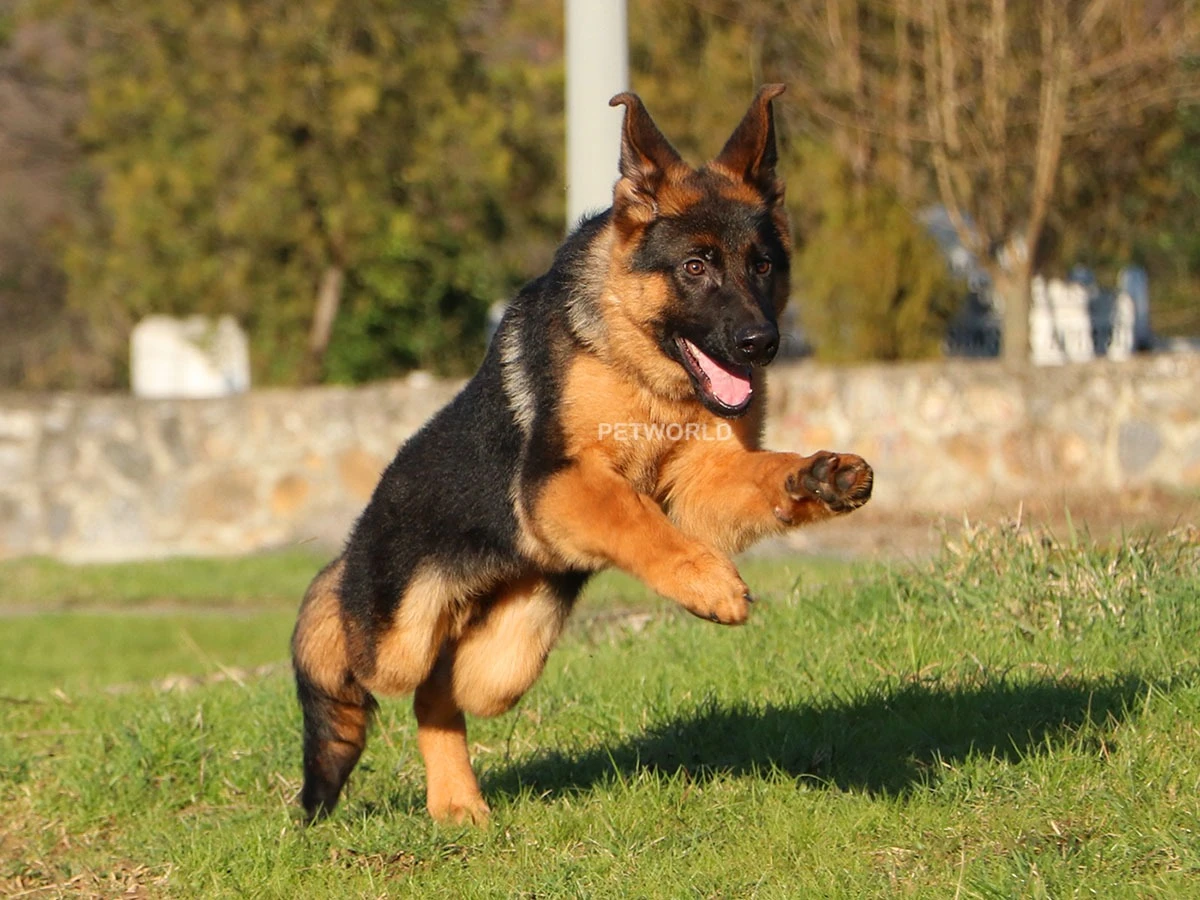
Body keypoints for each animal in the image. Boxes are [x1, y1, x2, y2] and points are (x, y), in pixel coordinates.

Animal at [290, 84, 873, 825]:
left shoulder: (703, 483)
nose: (761, 344)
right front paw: (708, 584)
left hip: (504, 659)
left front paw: (818, 477)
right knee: (341, 626)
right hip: (394, 637)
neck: (644, 367)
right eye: (695, 266)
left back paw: (456, 805)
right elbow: (636, 518)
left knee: (441, 691)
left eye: (762, 265)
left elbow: (754, 480)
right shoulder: (561, 480)